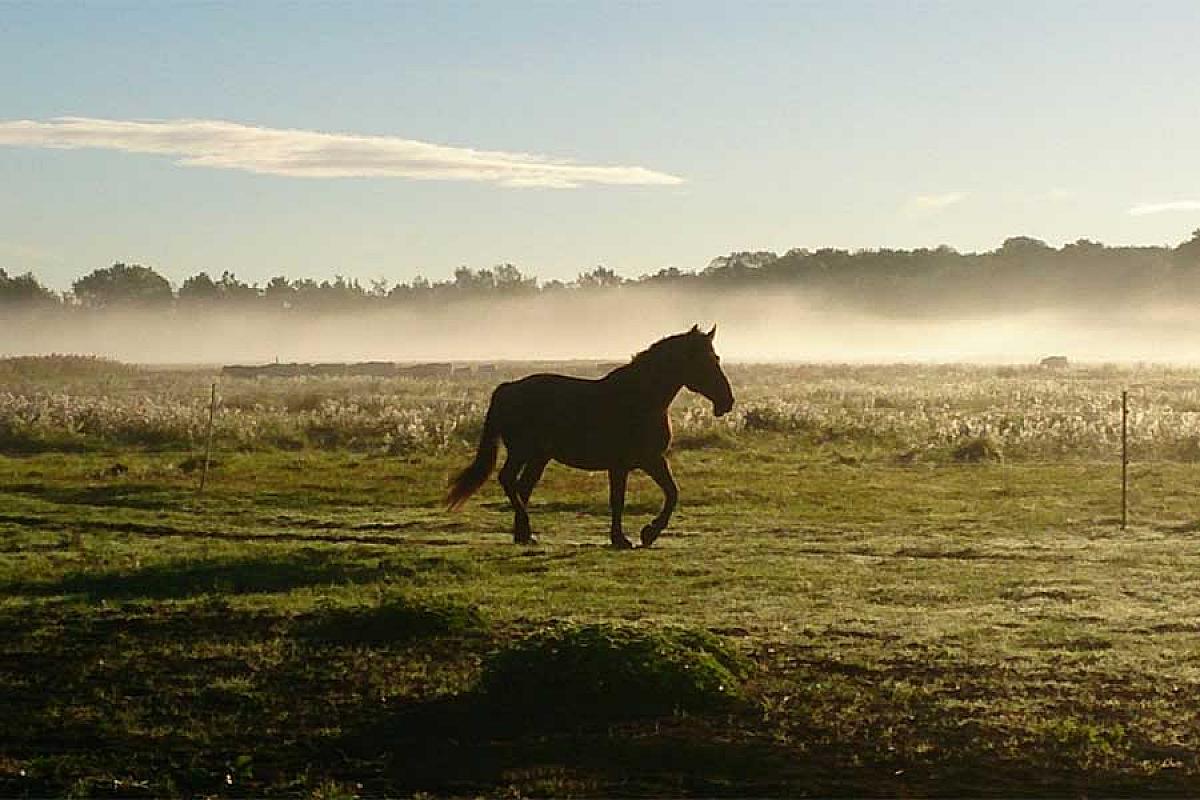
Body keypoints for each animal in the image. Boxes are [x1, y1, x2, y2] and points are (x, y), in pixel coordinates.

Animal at [445, 325, 735, 548]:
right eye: (706, 361)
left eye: (716, 358)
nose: (727, 401)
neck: (640, 399)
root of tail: (507, 389)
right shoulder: (623, 465)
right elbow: (619, 500)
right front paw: (625, 538)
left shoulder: (652, 459)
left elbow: (672, 493)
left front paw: (647, 534)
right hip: (522, 452)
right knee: (508, 481)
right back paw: (525, 530)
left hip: (539, 456)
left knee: (522, 486)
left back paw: (524, 535)